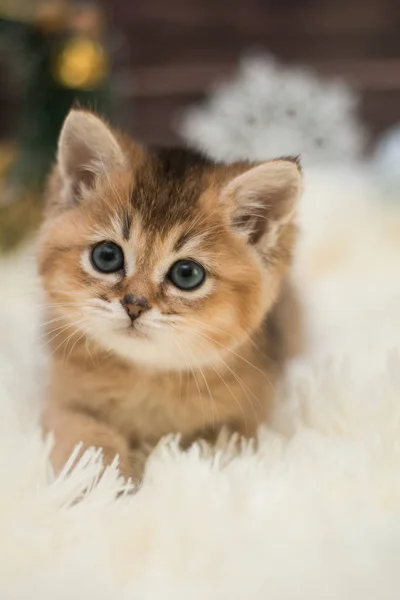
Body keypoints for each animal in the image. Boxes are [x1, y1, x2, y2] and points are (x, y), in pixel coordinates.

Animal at [37, 110, 302, 480]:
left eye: (186, 274)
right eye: (107, 256)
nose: (134, 305)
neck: (147, 376)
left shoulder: (248, 416)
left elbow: (211, 444)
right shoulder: (62, 401)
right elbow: (87, 439)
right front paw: (107, 480)